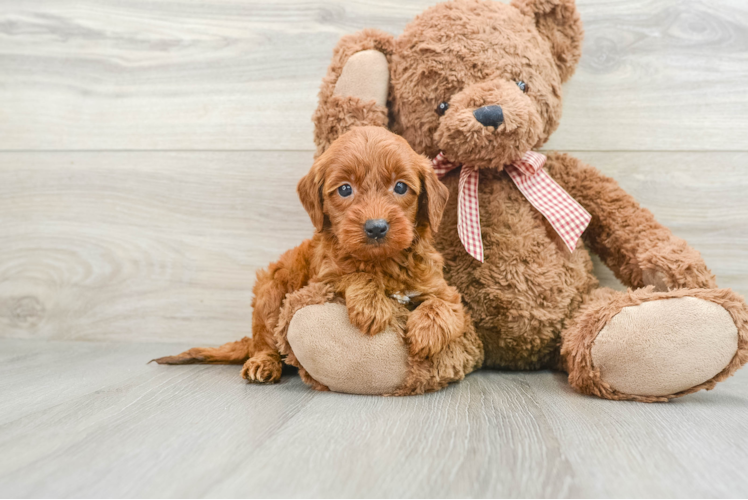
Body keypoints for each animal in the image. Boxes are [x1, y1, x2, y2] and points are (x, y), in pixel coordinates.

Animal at [153, 127, 468, 384]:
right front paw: (372, 305)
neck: (381, 261)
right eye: (345, 189)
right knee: (266, 341)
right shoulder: (323, 280)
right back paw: (263, 363)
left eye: (400, 186)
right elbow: (355, 275)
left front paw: (426, 331)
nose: (376, 227)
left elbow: (444, 304)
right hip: (271, 293)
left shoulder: (441, 287)